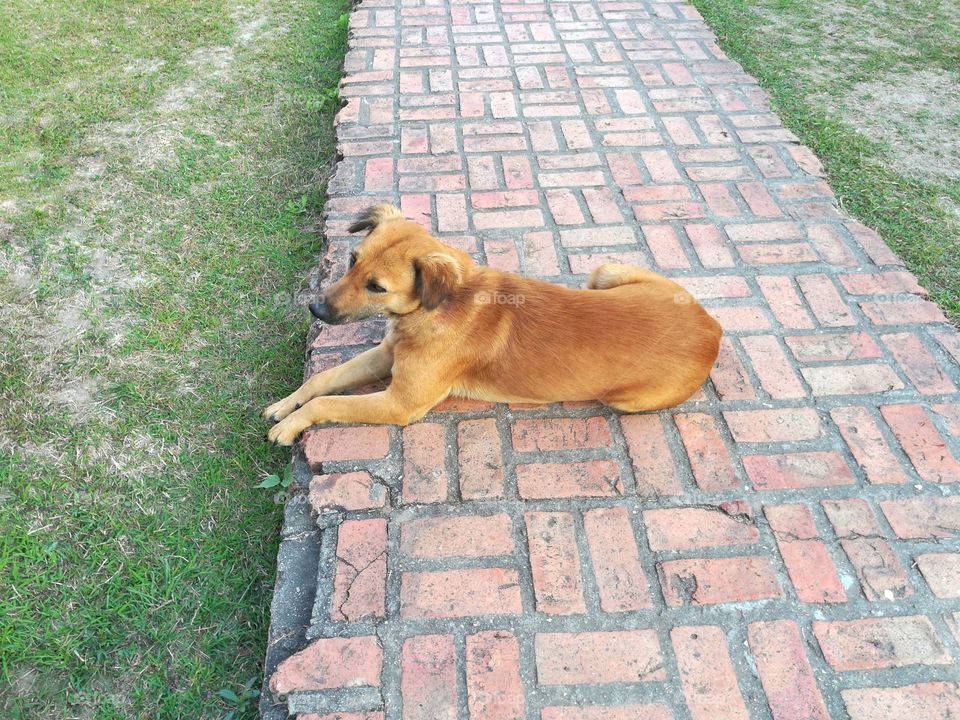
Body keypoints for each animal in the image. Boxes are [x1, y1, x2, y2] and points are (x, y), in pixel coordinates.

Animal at [262, 202, 720, 448]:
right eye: (352, 260)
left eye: (377, 287)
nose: (315, 309)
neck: (434, 310)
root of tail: (712, 328)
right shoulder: (386, 356)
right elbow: (322, 380)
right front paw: (286, 405)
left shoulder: (400, 403)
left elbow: (327, 402)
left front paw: (289, 426)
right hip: (606, 271)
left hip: (623, 400)